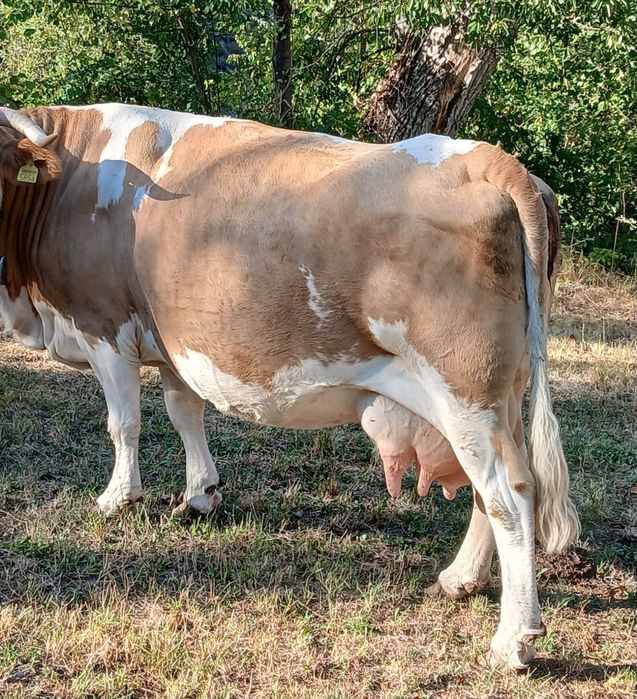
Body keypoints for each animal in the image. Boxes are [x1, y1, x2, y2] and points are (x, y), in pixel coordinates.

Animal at [0, 103, 579, 669]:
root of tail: (490, 159)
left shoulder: (103, 327)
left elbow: (123, 423)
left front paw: (117, 498)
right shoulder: (175, 343)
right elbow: (184, 412)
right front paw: (199, 494)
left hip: (464, 389)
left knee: (511, 491)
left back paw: (513, 641)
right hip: (500, 394)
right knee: (490, 489)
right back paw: (461, 580)